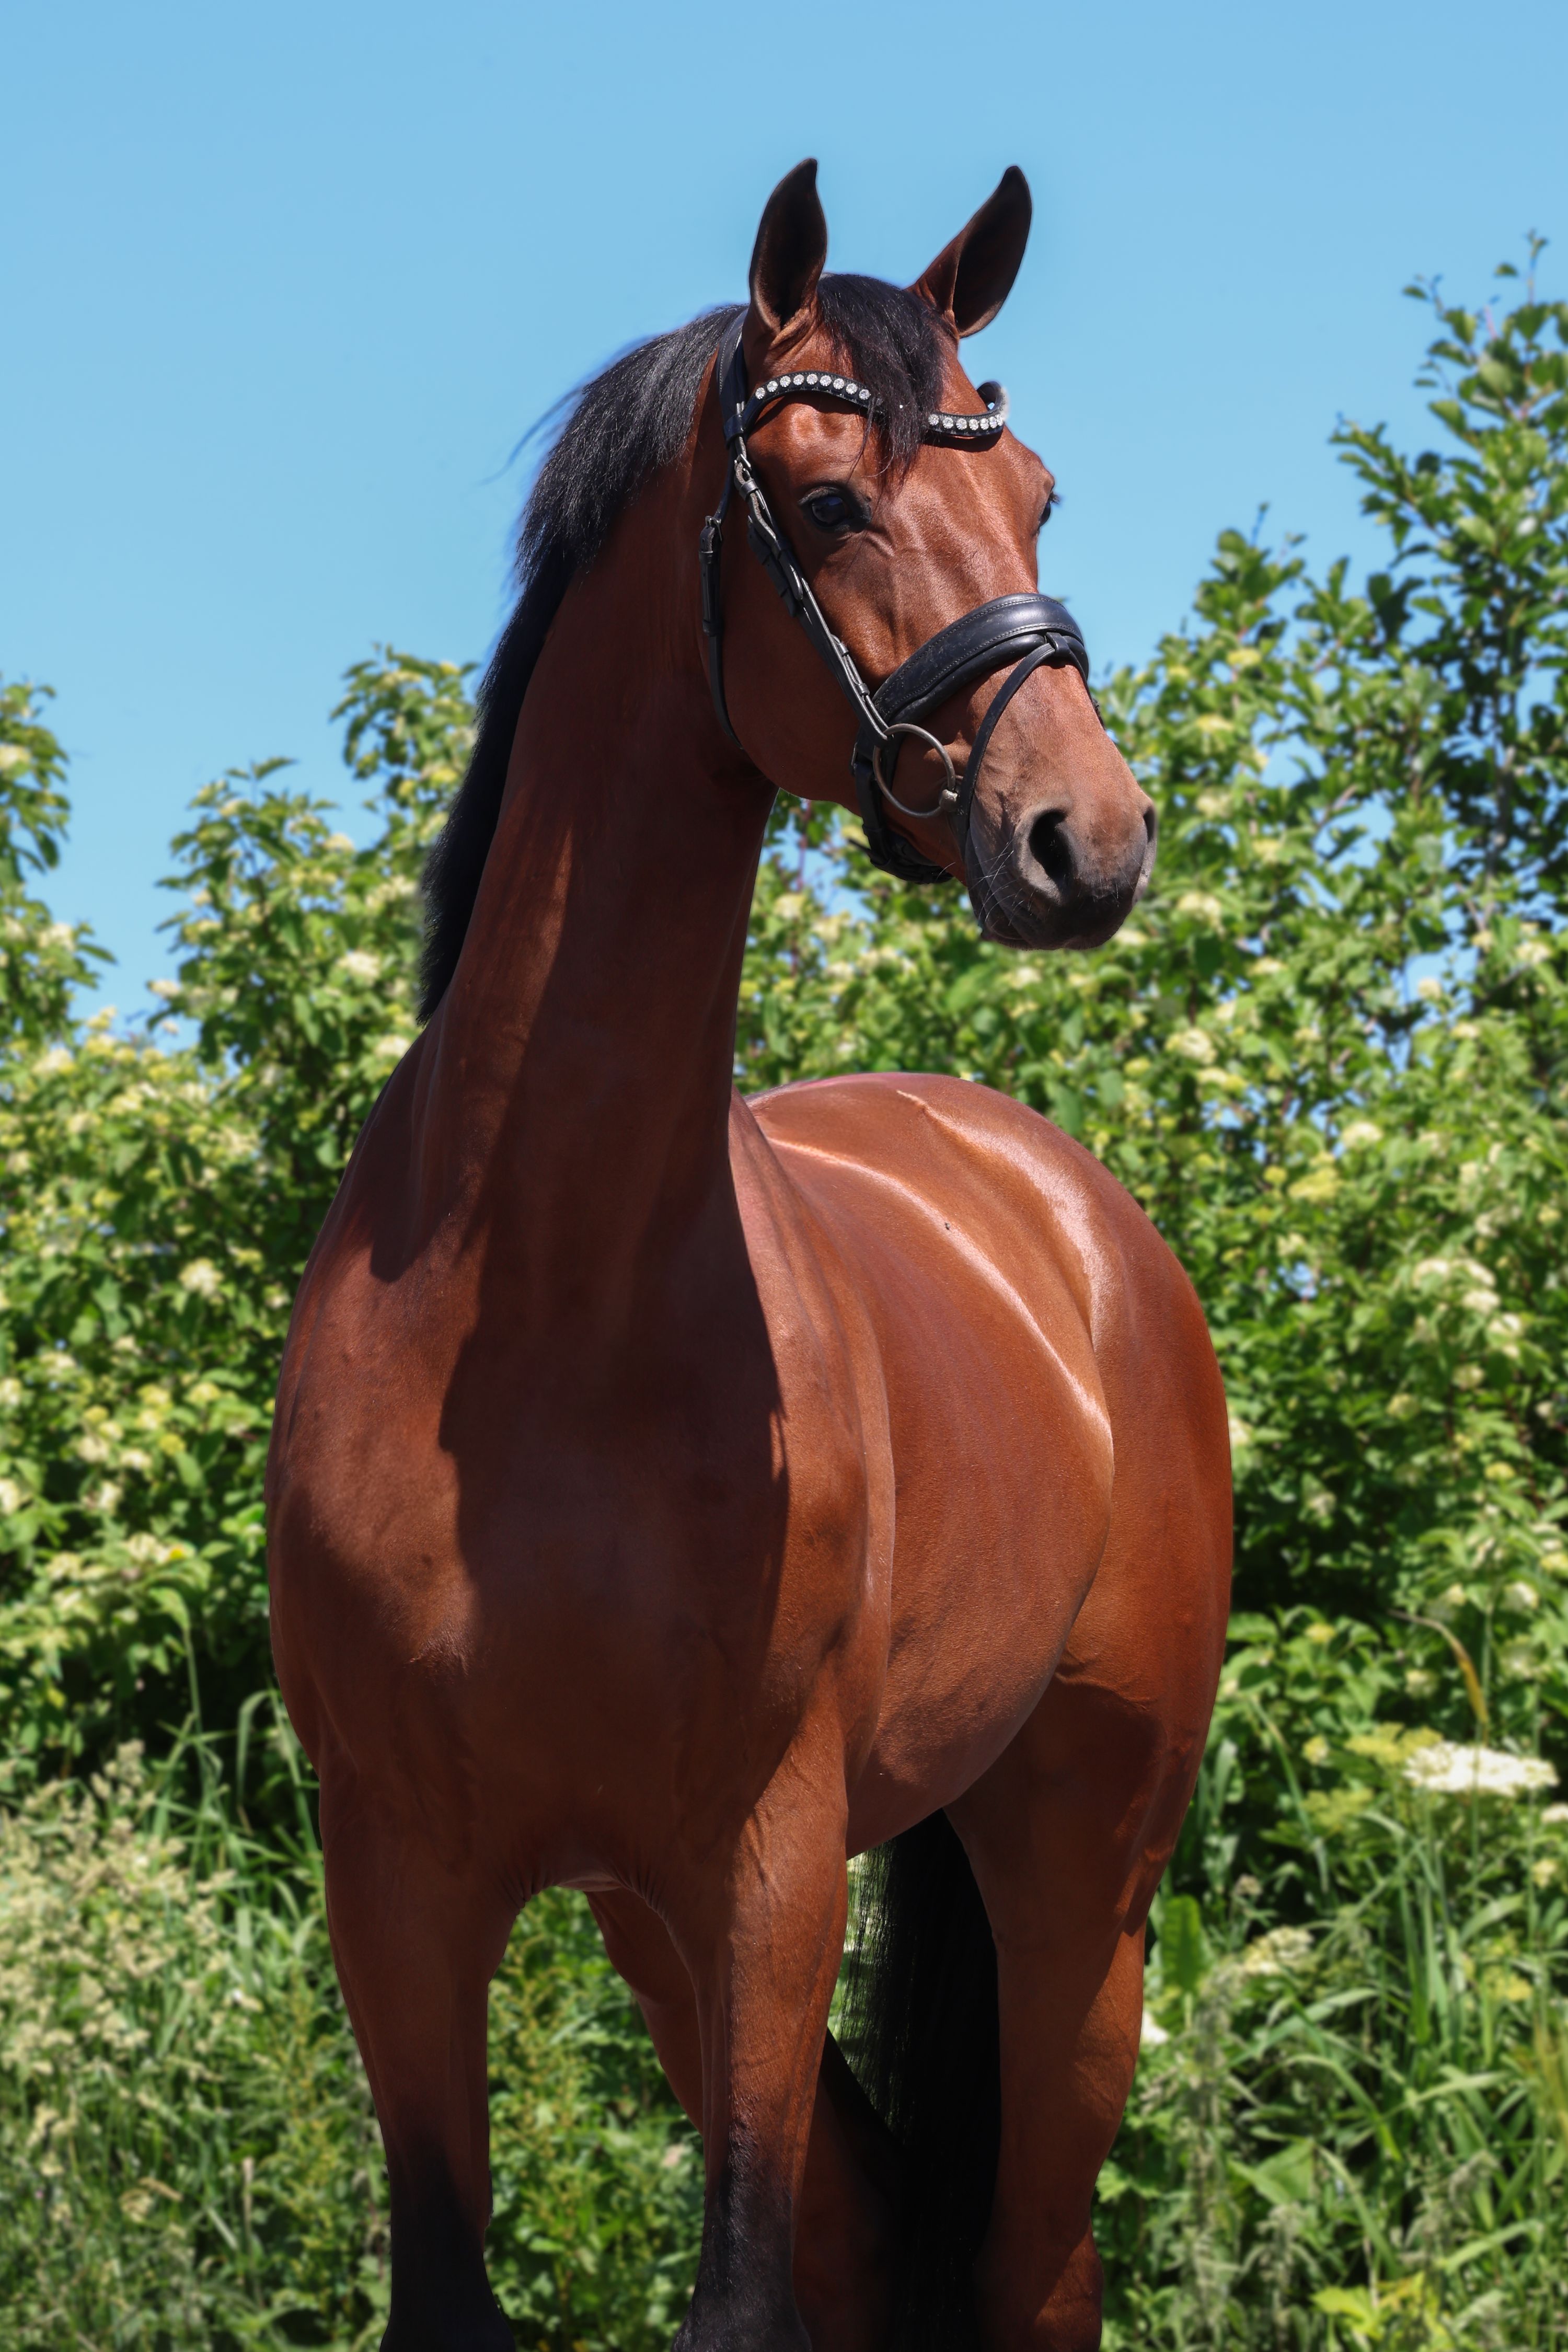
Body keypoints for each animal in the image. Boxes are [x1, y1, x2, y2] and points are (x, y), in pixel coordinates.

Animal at [267, 159, 1231, 2352]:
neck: (534, 1315)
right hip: (658, 1924)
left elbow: (740, 2292)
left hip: (1081, 1880)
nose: (1086, 840)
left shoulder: (766, 1869)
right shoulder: (406, 1886)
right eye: (826, 505)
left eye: (1035, 490)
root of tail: (1063, 1213)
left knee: (1034, 2269)